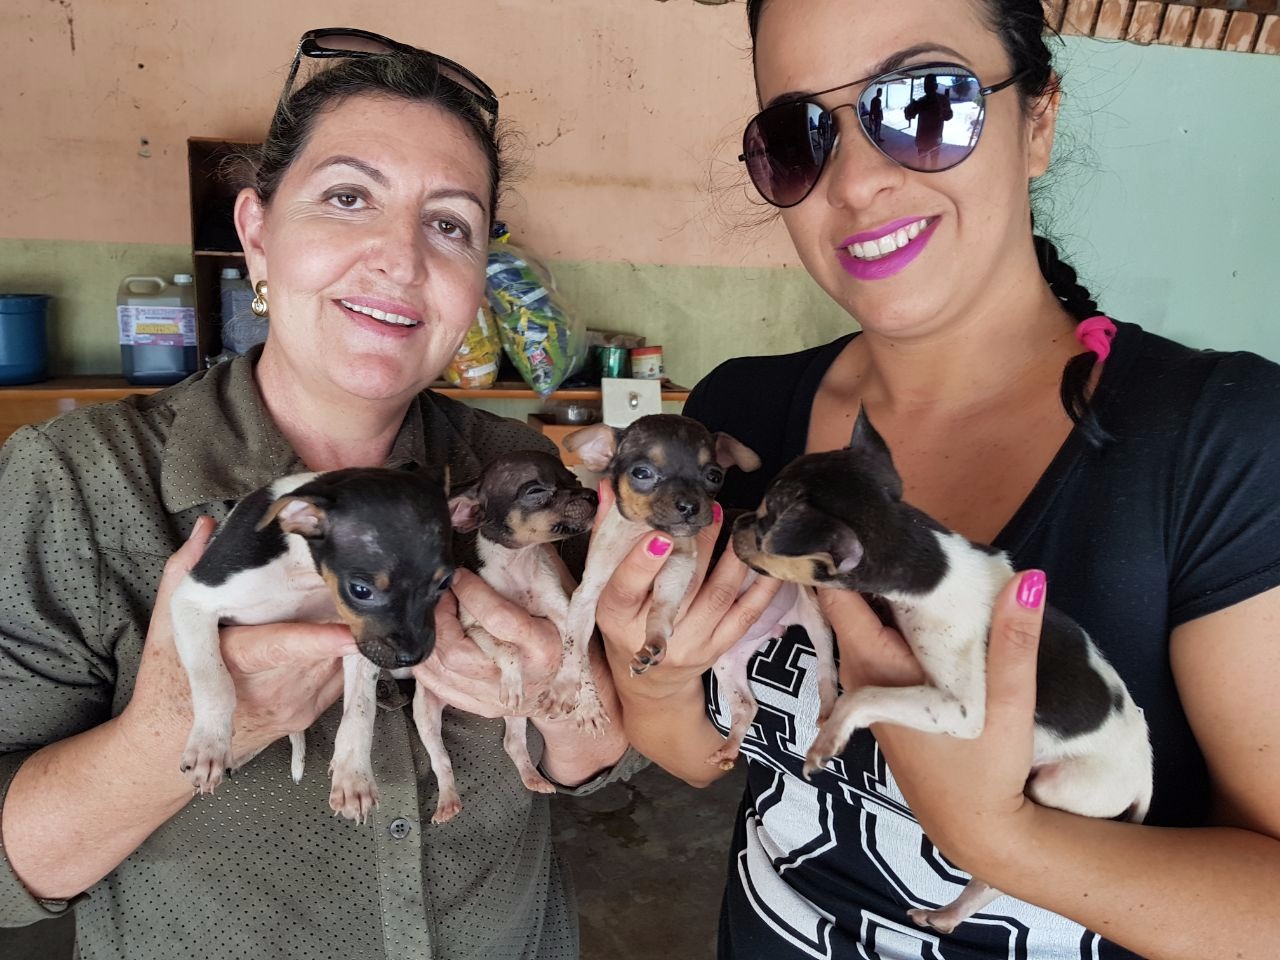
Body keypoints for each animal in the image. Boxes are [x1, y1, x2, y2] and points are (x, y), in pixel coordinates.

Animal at [167, 468, 453, 829]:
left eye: (445, 583)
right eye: (361, 590)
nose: (412, 657)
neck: (300, 572)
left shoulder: (357, 640)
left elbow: (361, 711)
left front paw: (353, 775)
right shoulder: (191, 601)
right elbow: (214, 681)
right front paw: (209, 744)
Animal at [412, 455, 601, 824]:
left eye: (573, 479)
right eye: (536, 490)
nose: (594, 495)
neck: (519, 565)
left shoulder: (565, 618)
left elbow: (579, 662)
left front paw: (590, 704)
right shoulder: (475, 629)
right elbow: (509, 647)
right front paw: (512, 681)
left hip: (517, 718)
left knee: (513, 744)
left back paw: (532, 778)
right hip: (424, 713)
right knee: (441, 760)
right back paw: (447, 802)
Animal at [550, 414, 757, 727]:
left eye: (714, 476)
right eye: (642, 473)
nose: (689, 506)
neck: (640, 533)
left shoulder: (680, 559)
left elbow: (661, 605)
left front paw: (653, 642)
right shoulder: (586, 594)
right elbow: (573, 644)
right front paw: (564, 684)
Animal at [727, 409, 1157, 936]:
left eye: (766, 525)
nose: (736, 521)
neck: (929, 560)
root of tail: (1144, 776)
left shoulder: (962, 710)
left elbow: (864, 695)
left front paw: (828, 740)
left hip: (1062, 785)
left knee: (993, 881)